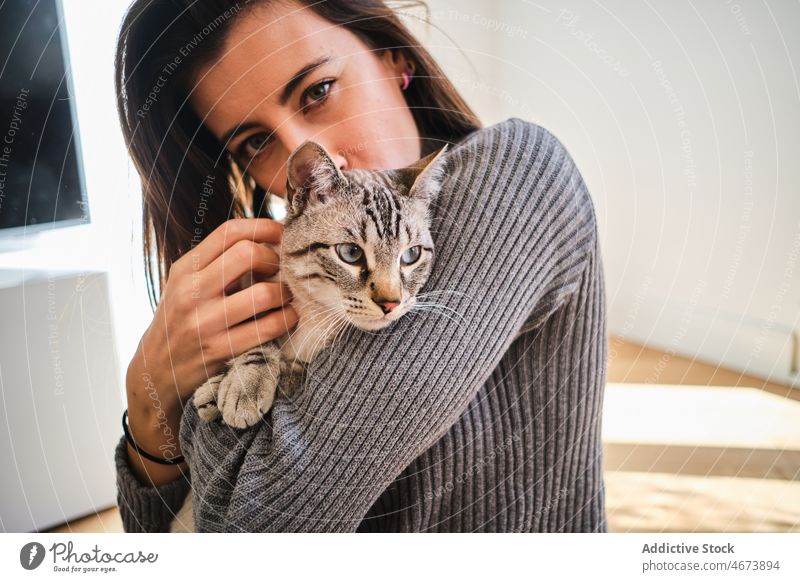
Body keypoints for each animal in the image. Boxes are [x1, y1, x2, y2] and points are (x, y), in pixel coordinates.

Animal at [169, 140, 450, 532]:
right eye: (350, 253)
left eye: (410, 256)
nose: (391, 303)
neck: (315, 315)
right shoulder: (253, 284)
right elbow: (256, 339)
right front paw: (240, 385)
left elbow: (294, 369)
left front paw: (238, 388)